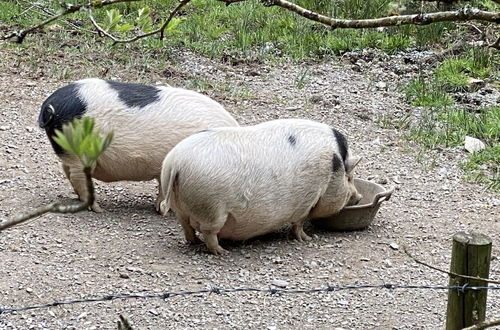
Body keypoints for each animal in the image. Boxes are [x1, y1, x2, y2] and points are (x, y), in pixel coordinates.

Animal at [38, 78, 239, 211]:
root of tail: (49, 106)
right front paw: (163, 210)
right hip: (80, 152)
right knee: (77, 176)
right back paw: (98, 208)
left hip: (70, 152)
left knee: (67, 170)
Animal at [162, 118, 362, 255]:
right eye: (349, 178)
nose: (359, 197)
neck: (334, 164)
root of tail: (175, 163)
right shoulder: (306, 201)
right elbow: (298, 223)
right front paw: (307, 238)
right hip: (211, 208)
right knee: (208, 232)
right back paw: (222, 252)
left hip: (179, 205)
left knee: (186, 225)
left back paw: (195, 242)